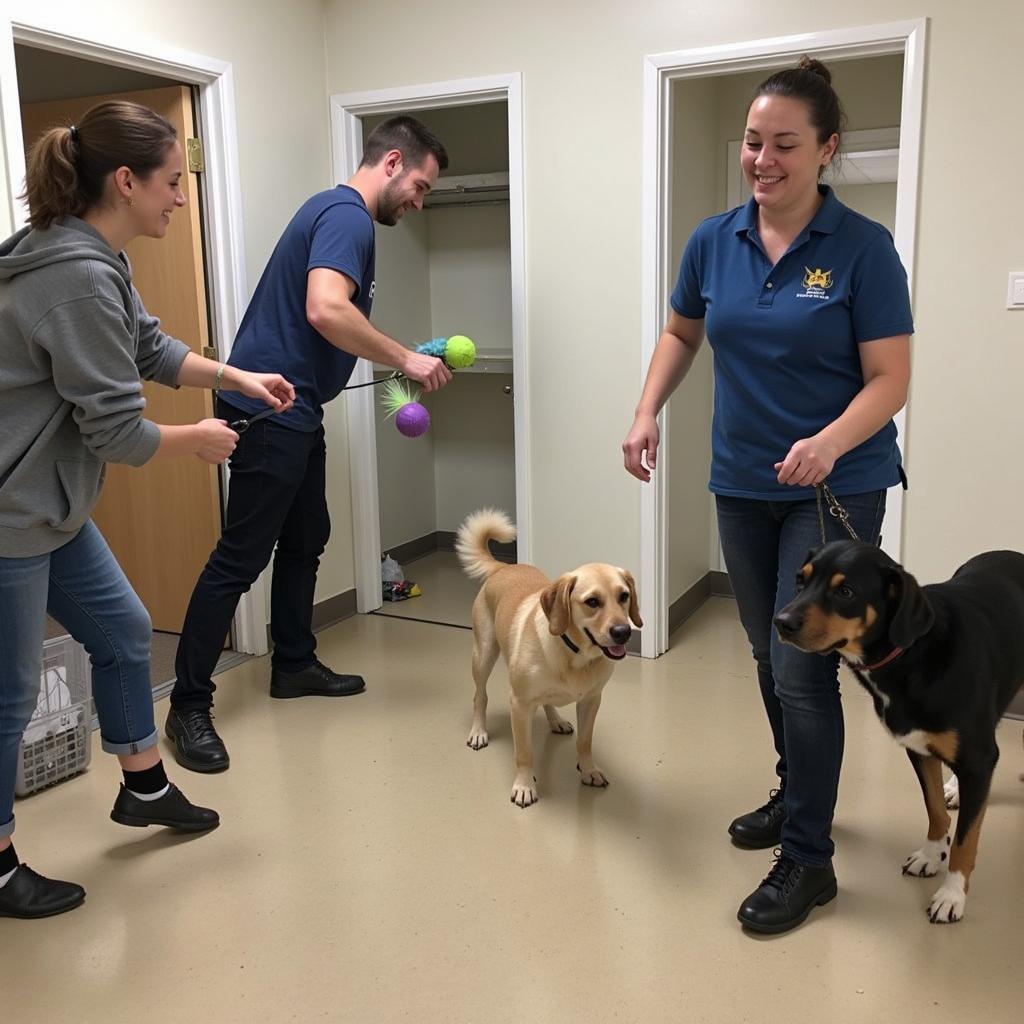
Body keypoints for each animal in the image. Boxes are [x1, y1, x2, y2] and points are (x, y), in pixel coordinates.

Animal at [456, 509, 638, 806]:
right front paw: (524, 785)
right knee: (479, 697)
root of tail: (503, 567)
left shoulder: (591, 701)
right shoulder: (519, 704)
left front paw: (588, 770)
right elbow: (524, 753)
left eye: (623, 596)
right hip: (483, 655)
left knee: (546, 701)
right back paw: (479, 731)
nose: (623, 632)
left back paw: (556, 720)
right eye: (592, 602)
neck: (575, 655)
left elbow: (585, 742)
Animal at [774, 540, 1024, 925]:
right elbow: (934, 809)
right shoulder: (920, 748)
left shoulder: (978, 756)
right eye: (801, 581)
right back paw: (956, 789)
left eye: (846, 592)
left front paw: (952, 895)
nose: (782, 622)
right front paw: (931, 854)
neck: (911, 653)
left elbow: (966, 840)